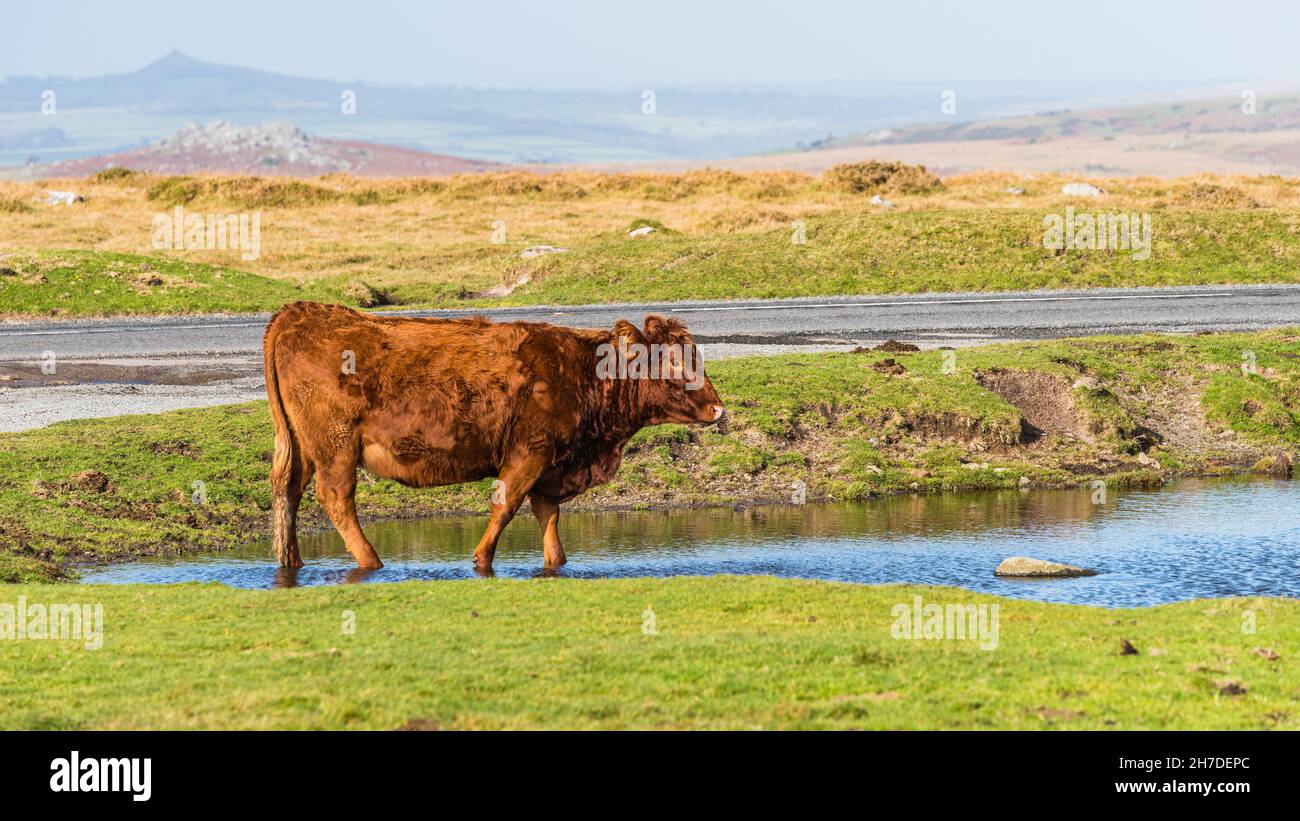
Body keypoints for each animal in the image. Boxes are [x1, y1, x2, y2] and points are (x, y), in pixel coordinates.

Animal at [258, 300, 728, 571]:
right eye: (671, 361)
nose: (718, 408)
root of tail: (303, 311)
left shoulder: (551, 464)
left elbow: (548, 516)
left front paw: (555, 562)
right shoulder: (529, 452)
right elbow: (505, 506)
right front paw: (482, 559)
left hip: (304, 448)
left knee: (290, 492)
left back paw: (291, 561)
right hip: (336, 447)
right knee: (336, 498)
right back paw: (371, 562)